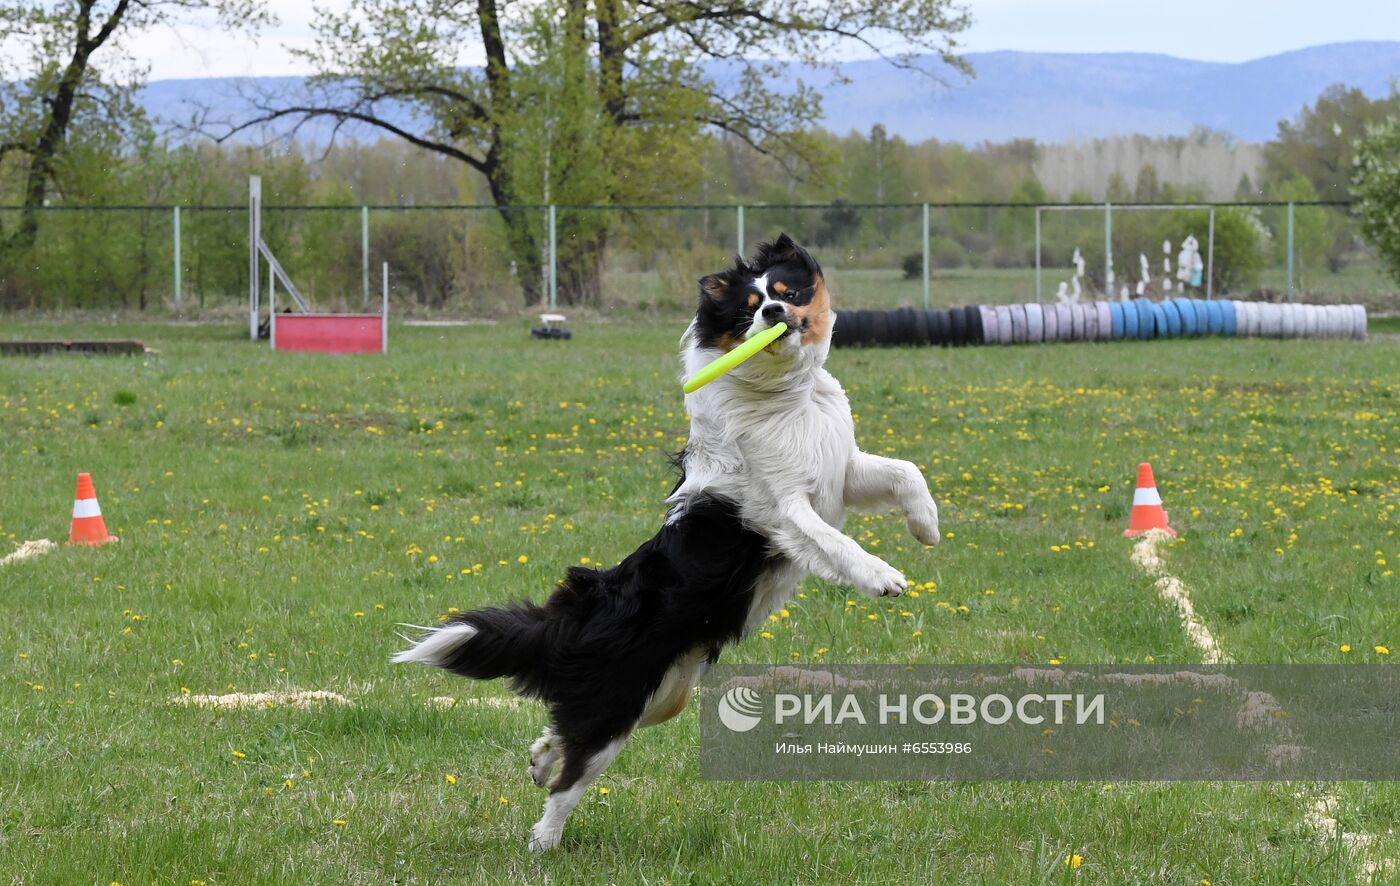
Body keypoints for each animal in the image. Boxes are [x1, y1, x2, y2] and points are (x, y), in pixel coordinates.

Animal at [394, 233, 940, 851]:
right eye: (749, 308)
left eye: (787, 291)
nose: (775, 314)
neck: (785, 394)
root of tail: (582, 610)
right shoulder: (782, 509)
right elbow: (833, 541)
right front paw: (883, 576)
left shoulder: (839, 474)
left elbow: (906, 471)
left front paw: (927, 525)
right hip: (621, 702)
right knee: (570, 779)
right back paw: (543, 842)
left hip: (665, 694)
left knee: (563, 727)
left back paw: (539, 757)